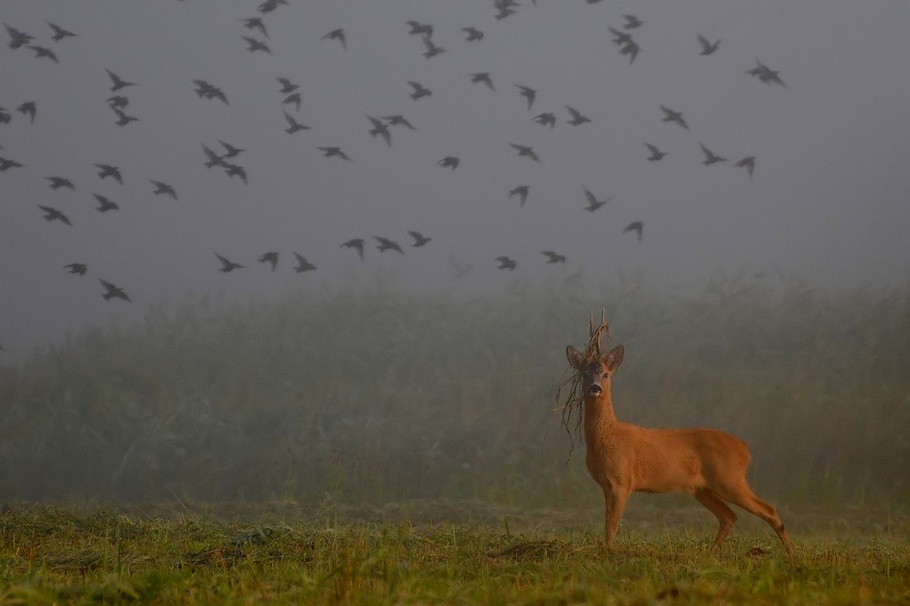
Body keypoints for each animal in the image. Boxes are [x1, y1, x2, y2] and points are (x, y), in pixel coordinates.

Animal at [568, 324, 796, 556]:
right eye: (584, 374)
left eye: (606, 374)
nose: (595, 388)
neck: (607, 437)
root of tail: (745, 447)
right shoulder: (607, 485)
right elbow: (607, 522)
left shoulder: (622, 481)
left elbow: (613, 524)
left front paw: (610, 551)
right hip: (703, 488)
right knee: (729, 516)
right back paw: (710, 553)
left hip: (730, 479)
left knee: (768, 509)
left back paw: (792, 554)